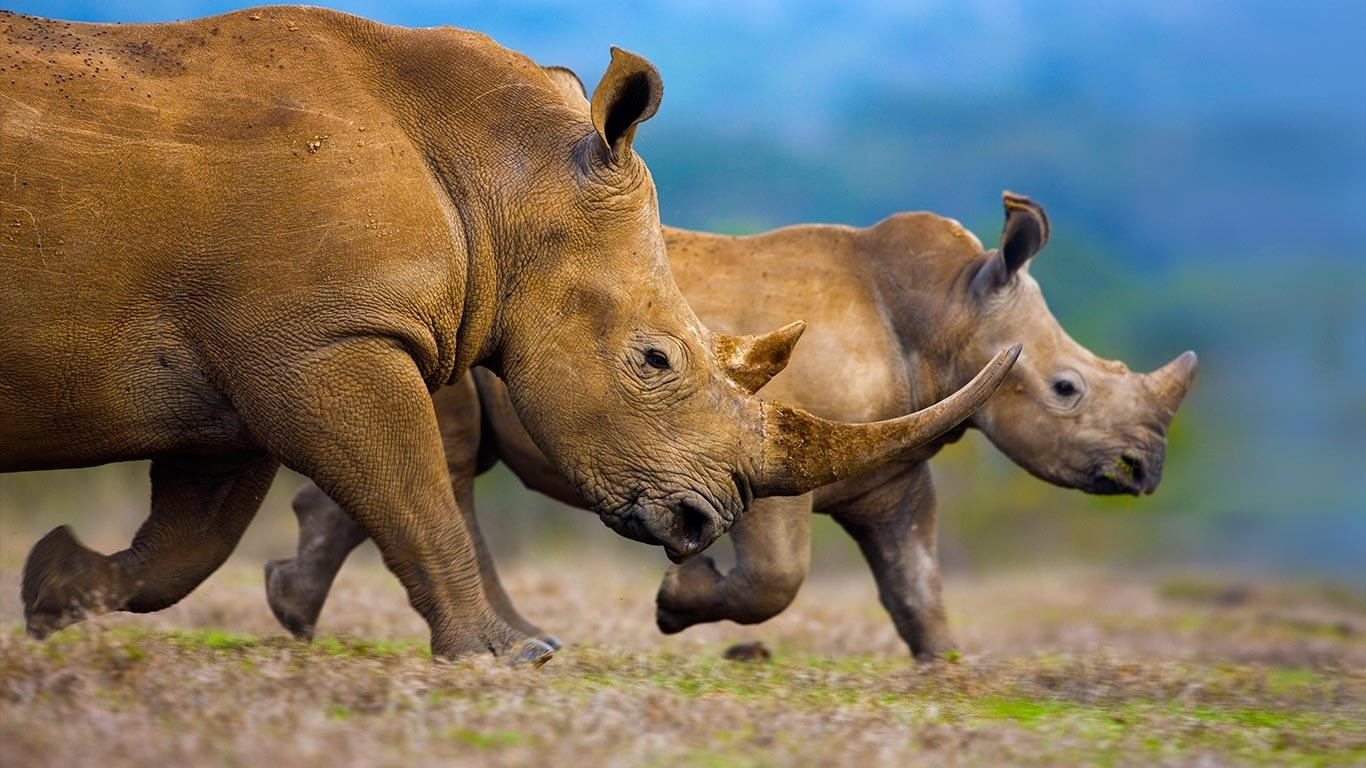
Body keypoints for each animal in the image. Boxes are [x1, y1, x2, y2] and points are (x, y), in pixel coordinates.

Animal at [2, 8, 1016, 661]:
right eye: (656, 360)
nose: (705, 522)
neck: (504, 176)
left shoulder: (254, 350)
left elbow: (188, 541)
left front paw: (55, 590)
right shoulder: (325, 341)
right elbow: (411, 490)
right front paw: (504, 660)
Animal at [263, 189, 1185, 650]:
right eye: (1066, 388)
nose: (1144, 472)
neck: (950, 311)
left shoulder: (892, 469)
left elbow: (916, 582)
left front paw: (947, 678)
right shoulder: (773, 449)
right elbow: (778, 578)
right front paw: (676, 604)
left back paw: (292, 614)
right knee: (444, 458)